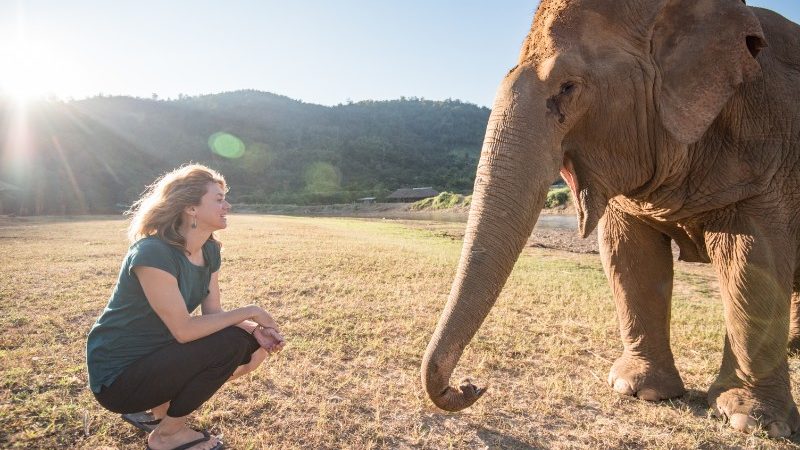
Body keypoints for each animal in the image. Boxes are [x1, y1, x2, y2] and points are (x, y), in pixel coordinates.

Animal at [418, 0, 800, 438]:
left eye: (568, 87)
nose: (470, 385)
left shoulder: (768, 151)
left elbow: (752, 260)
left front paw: (750, 422)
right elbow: (628, 254)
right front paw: (637, 390)